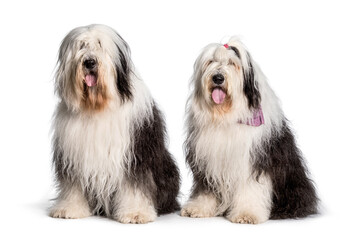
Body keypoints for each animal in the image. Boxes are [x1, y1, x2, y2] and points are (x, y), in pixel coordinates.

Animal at [50, 24, 181, 223]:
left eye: (100, 45)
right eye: (81, 46)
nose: (89, 62)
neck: (97, 107)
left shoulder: (135, 154)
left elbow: (136, 185)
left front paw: (135, 213)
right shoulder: (73, 155)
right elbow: (73, 185)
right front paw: (70, 208)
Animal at [182, 37, 318, 223]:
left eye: (233, 63)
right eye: (211, 61)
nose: (218, 78)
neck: (227, 117)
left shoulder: (253, 160)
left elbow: (250, 187)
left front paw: (247, 213)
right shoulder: (206, 161)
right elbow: (206, 188)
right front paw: (198, 208)